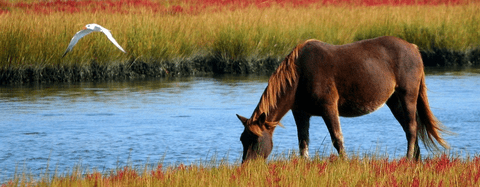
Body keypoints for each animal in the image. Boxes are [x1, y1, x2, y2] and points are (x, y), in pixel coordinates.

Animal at [236, 35, 450, 161]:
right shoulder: (301, 113)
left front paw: (344, 163)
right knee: (408, 128)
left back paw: (408, 159)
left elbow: (337, 138)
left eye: (255, 140)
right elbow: (303, 142)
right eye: (242, 139)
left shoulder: (329, 107)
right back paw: (415, 159)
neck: (299, 74)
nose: (247, 167)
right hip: (394, 101)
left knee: (412, 128)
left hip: (408, 95)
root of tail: (413, 48)